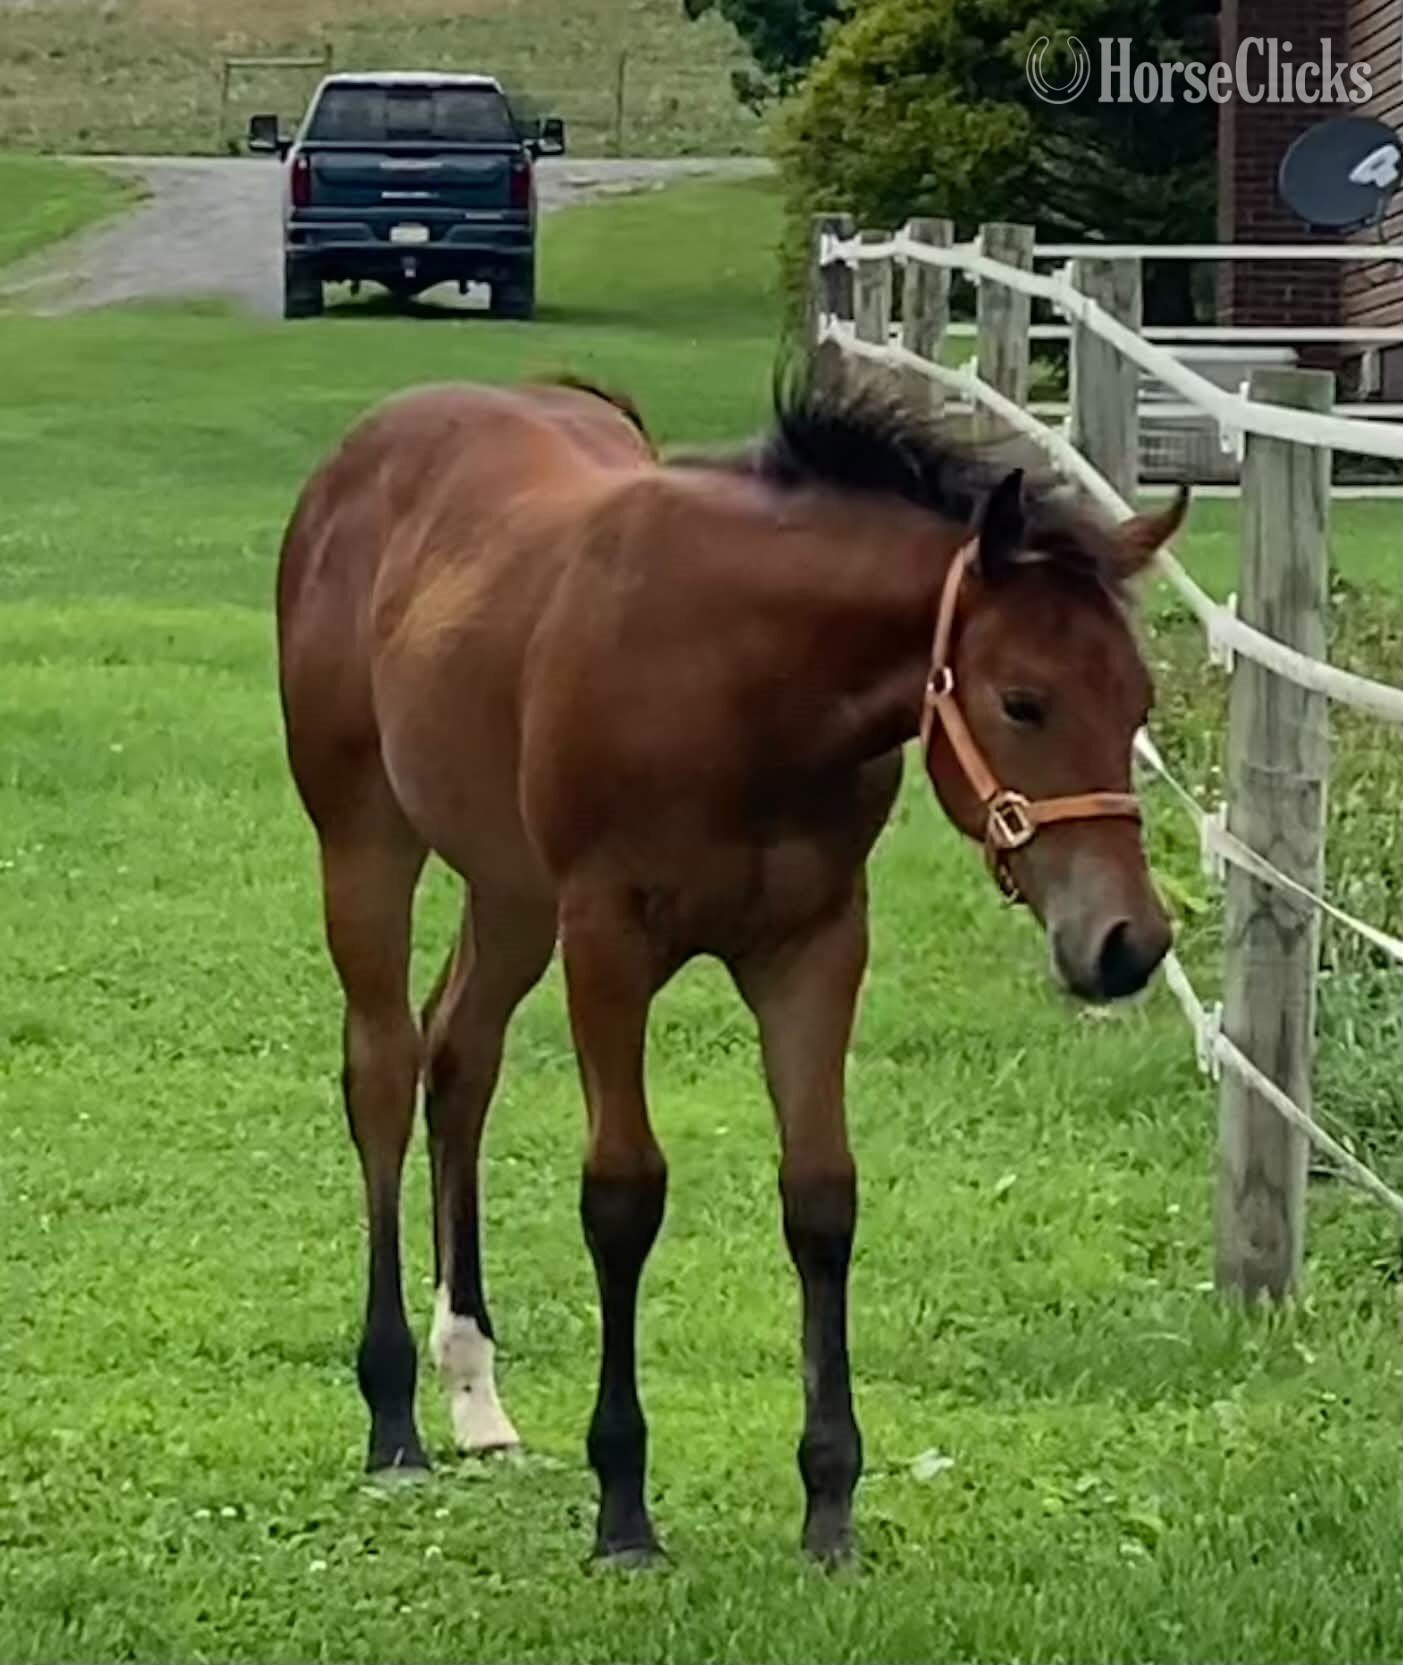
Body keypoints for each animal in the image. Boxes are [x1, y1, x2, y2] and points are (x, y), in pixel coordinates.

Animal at [274, 362, 1183, 1564]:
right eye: (1021, 700)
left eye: (1139, 704)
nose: (1128, 944)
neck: (742, 680)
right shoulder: (607, 938)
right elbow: (622, 1195)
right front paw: (622, 1504)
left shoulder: (815, 944)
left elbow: (820, 1197)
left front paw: (829, 1502)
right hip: (366, 839)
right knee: (382, 1068)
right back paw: (392, 1416)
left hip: (510, 888)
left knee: (458, 1058)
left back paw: (473, 1392)